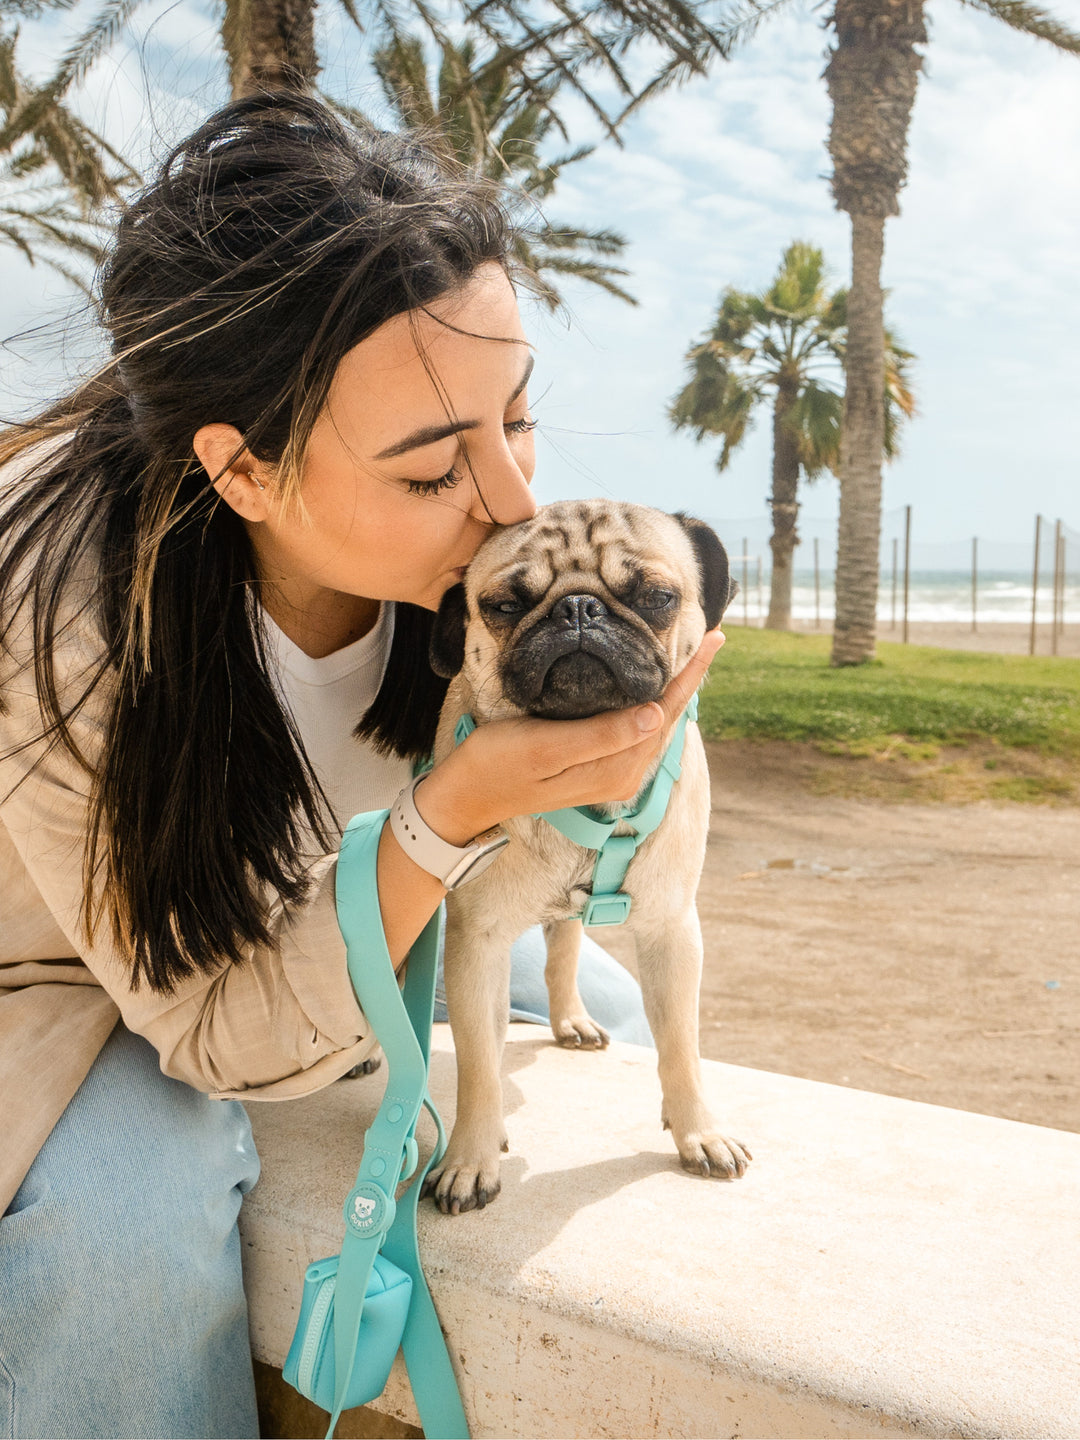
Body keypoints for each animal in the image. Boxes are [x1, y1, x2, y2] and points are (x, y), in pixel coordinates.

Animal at [423, 501, 754, 1209]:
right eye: (504, 606)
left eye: (657, 597)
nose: (578, 608)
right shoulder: (477, 941)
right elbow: (478, 1064)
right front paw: (469, 1156)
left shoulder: (672, 932)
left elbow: (681, 1047)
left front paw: (698, 1131)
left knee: (564, 953)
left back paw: (571, 1019)